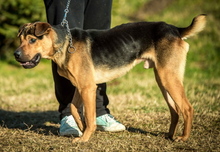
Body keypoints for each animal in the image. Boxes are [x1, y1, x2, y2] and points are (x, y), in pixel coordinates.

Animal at [14, 13, 206, 142]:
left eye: (32, 40)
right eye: (21, 40)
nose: (16, 55)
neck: (65, 44)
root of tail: (175, 29)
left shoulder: (87, 88)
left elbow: (90, 116)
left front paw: (84, 138)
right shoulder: (81, 87)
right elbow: (75, 109)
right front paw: (81, 128)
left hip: (168, 77)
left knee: (187, 108)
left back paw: (184, 137)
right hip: (162, 79)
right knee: (175, 110)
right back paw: (170, 135)